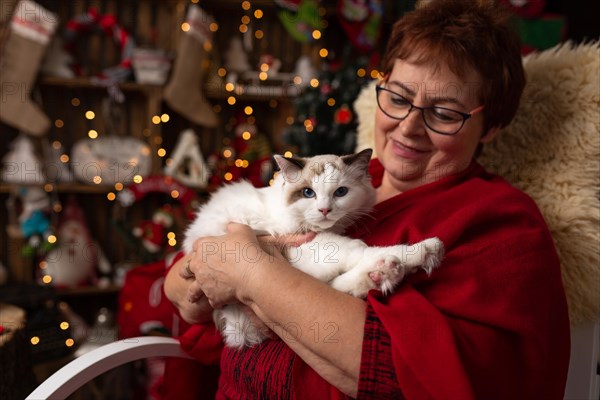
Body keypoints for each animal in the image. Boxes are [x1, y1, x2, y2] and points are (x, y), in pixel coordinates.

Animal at [180, 148, 442, 348]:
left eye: (340, 192)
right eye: (308, 193)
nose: (325, 210)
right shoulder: (304, 242)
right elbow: (358, 248)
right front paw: (422, 251)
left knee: (341, 283)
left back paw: (386, 273)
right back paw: (408, 260)